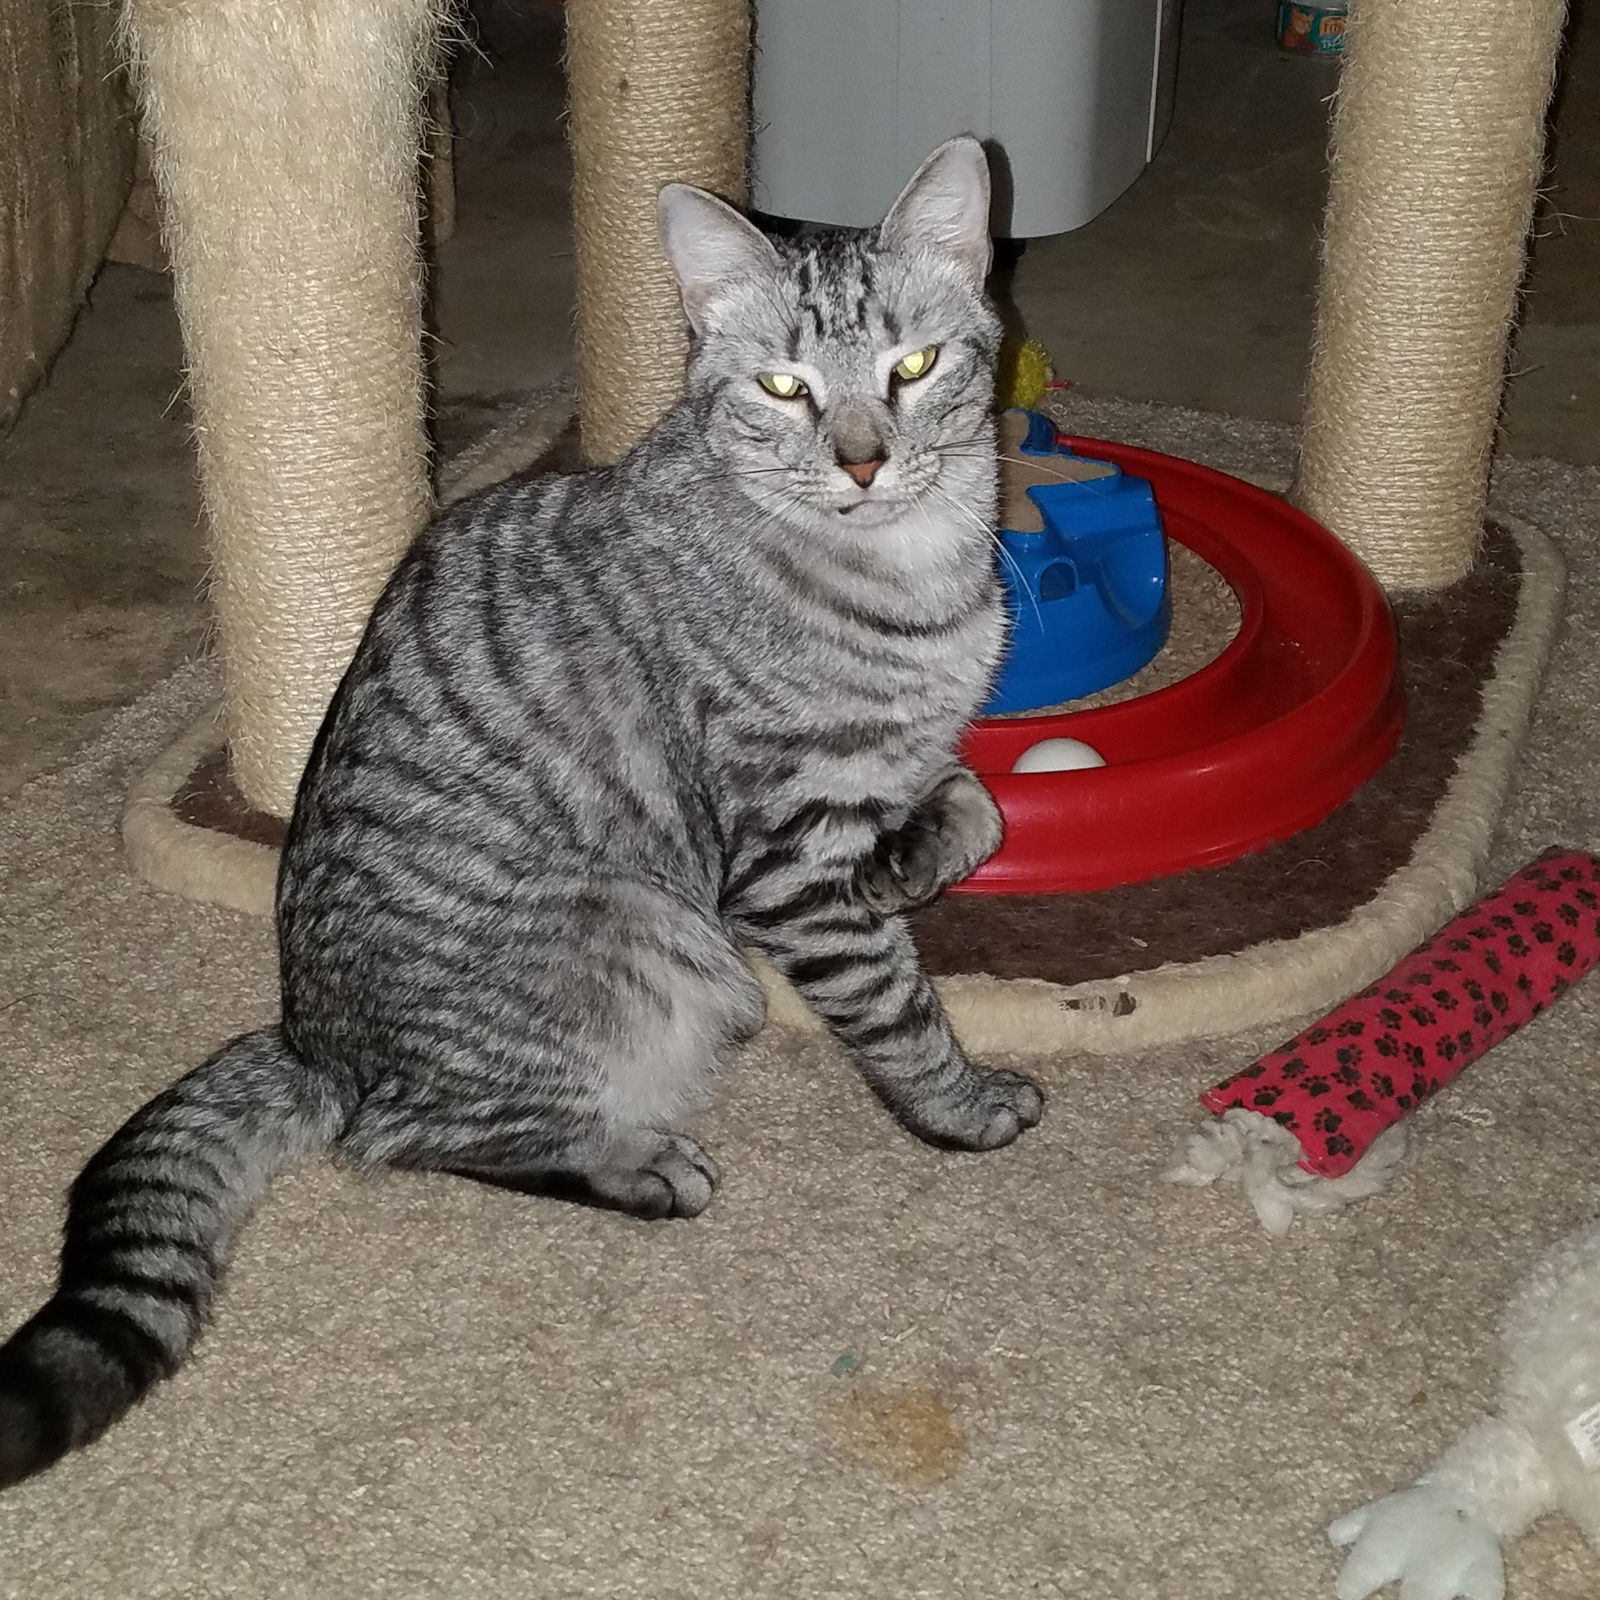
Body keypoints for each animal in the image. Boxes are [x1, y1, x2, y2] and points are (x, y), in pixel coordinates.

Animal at [0, 134, 1043, 1484]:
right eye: (783, 386)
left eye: (912, 365)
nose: (861, 459)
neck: (915, 578)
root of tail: (312, 1039)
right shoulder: (778, 852)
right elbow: (898, 1007)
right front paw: (958, 1106)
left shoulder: (876, 787)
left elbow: (971, 807)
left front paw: (911, 859)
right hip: (647, 945)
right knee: (406, 1136)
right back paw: (637, 1166)